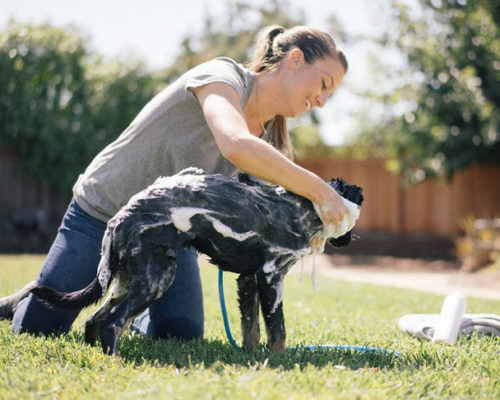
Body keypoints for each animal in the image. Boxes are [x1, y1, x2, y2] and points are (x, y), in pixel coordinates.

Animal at [30, 167, 364, 354]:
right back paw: (113, 359)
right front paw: (278, 359)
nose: (351, 240)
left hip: (126, 281)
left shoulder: (248, 281)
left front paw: (252, 356)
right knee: (113, 323)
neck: (303, 207)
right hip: (156, 279)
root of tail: (120, 217)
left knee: (94, 320)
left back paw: (95, 355)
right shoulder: (270, 277)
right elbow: (277, 329)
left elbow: (251, 328)